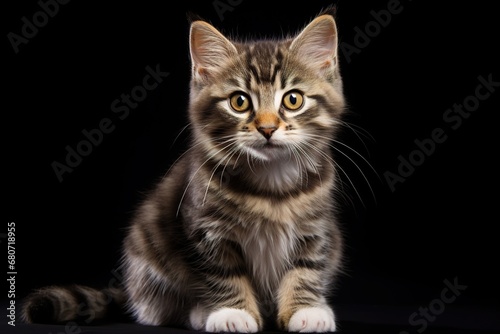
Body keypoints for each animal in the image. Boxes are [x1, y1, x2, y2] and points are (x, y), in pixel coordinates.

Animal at [22, 9, 344, 332]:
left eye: (293, 99)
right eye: (239, 102)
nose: (267, 128)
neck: (271, 182)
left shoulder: (317, 228)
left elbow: (307, 266)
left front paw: (305, 310)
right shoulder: (206, 228)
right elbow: (223, 272)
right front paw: (232, 312)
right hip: (146, 254)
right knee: (155, 309)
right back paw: (199, 313)